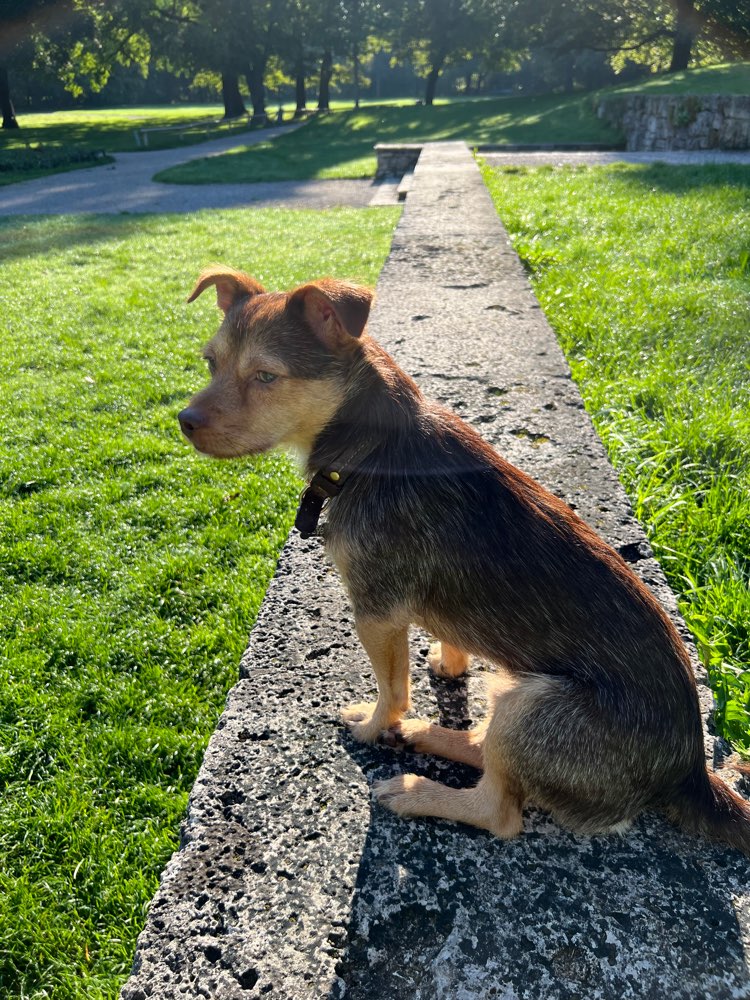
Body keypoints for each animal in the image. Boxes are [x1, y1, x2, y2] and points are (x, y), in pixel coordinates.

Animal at [178, 266, 750, 852]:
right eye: (211, 362)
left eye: (266, 376)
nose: (184, 420)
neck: (373, 447)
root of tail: (691, 774)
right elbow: (449, 629)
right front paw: (447, 664)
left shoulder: (376, 613)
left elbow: (392, 690)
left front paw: (373, 727)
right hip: (513, 696)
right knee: (483, 745)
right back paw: (428, 735)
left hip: (533, 708)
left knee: (500, 811)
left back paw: (416, 788)